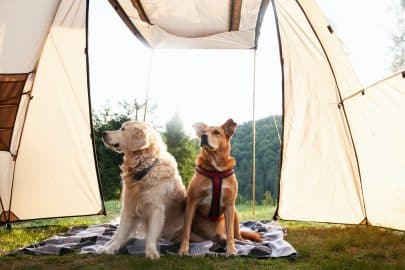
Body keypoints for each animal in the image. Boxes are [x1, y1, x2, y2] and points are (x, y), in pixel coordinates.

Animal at [178, 118, 260, 255]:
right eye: (203, 132)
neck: (216, 169)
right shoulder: (192, 203)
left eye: (216, 132)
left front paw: (231, 250)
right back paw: (216, 245)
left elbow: (230, 233)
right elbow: (186, 231)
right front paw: (183, 250)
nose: (203, 136)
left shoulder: (229, 205)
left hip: (235, 213)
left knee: (236, 235)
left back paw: (242, 242)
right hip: (201, 238)